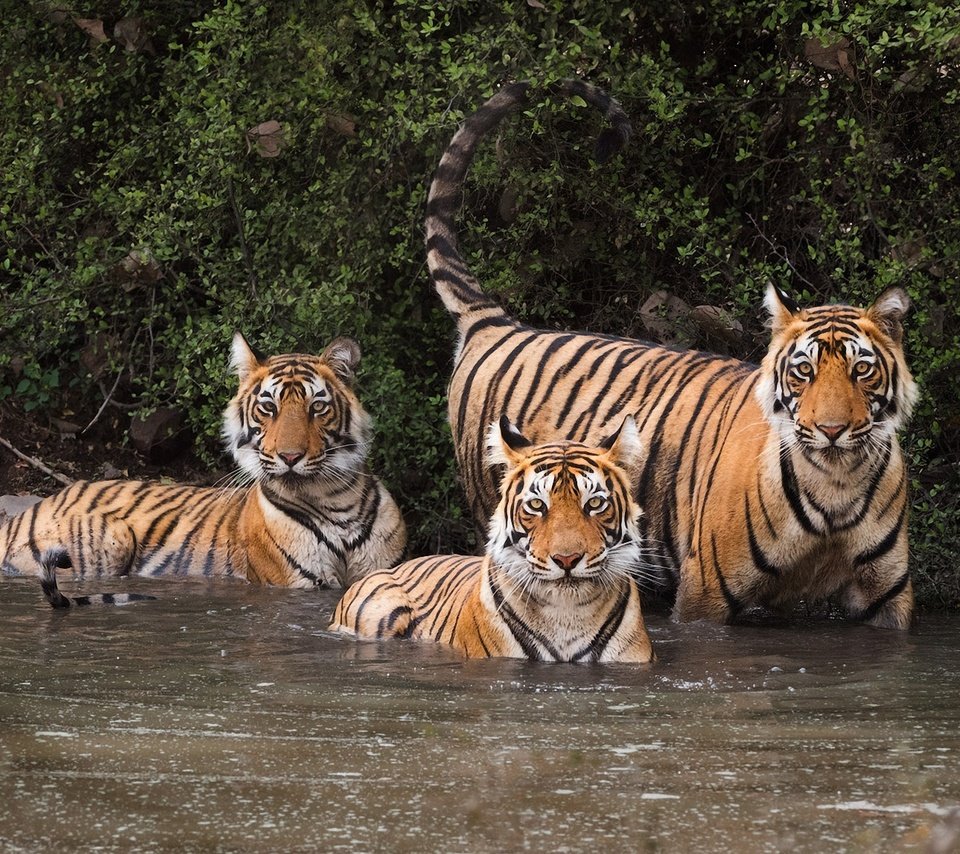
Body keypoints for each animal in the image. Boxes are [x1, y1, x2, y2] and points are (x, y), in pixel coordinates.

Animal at [0, 332, 406, 600]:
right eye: (268, 407)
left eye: (317, 407)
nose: (290, 457)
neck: (334, 500)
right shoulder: (298, 584)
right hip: (111, 538)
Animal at [424, 80, 920, 628]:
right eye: (804, 371)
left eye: (862, 370)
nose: (831, 430)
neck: (837, 483)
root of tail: (496, 324)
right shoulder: (705, 598)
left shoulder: (888, 600)